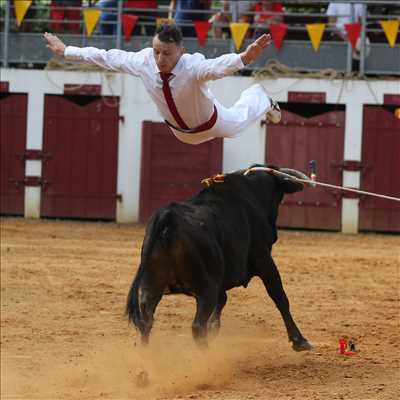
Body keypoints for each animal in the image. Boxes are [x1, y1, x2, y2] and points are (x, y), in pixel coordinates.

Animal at [126, 166, 314, 354]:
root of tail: (168, 218)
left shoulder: (221, 281)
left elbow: (222, 300)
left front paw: (214, 329)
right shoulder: (264, 260)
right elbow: (279, 296)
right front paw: (299, 341)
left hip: (152, 286)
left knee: (146, 321)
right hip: (206, 287)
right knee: (197, 326)